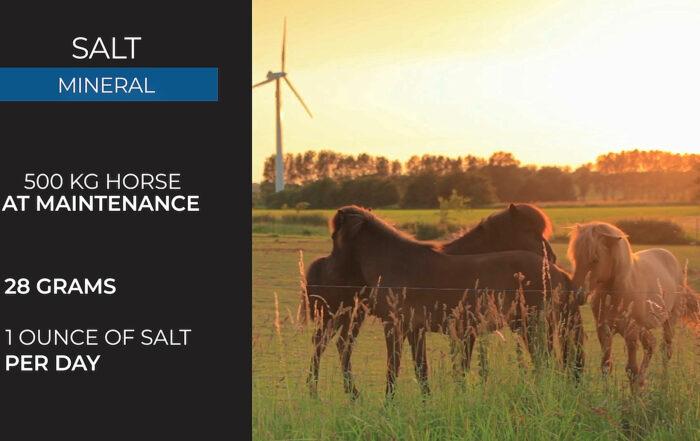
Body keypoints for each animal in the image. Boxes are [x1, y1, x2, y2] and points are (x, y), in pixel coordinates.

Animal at [303, 203, 566, 398]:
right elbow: (413, 368)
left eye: (334, 237)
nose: (551, 257)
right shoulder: (409, 328)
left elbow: (409, 368)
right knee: (328, 346)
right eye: (530, 231)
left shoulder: (408, 328)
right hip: (340, 315)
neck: (398, 265)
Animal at [567, 221, 699, 390]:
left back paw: (663, 383)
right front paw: (607, 392)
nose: (577, 294)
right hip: (643, 328)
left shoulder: (631, 332)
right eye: (575, 258)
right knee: (651, 346)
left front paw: (635, 394)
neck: (617, 292)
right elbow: (606, 365)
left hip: (669, 321)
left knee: (665, 350)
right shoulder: (603, 330)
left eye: (595, 259)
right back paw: (644, 382)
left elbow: (631, 369)